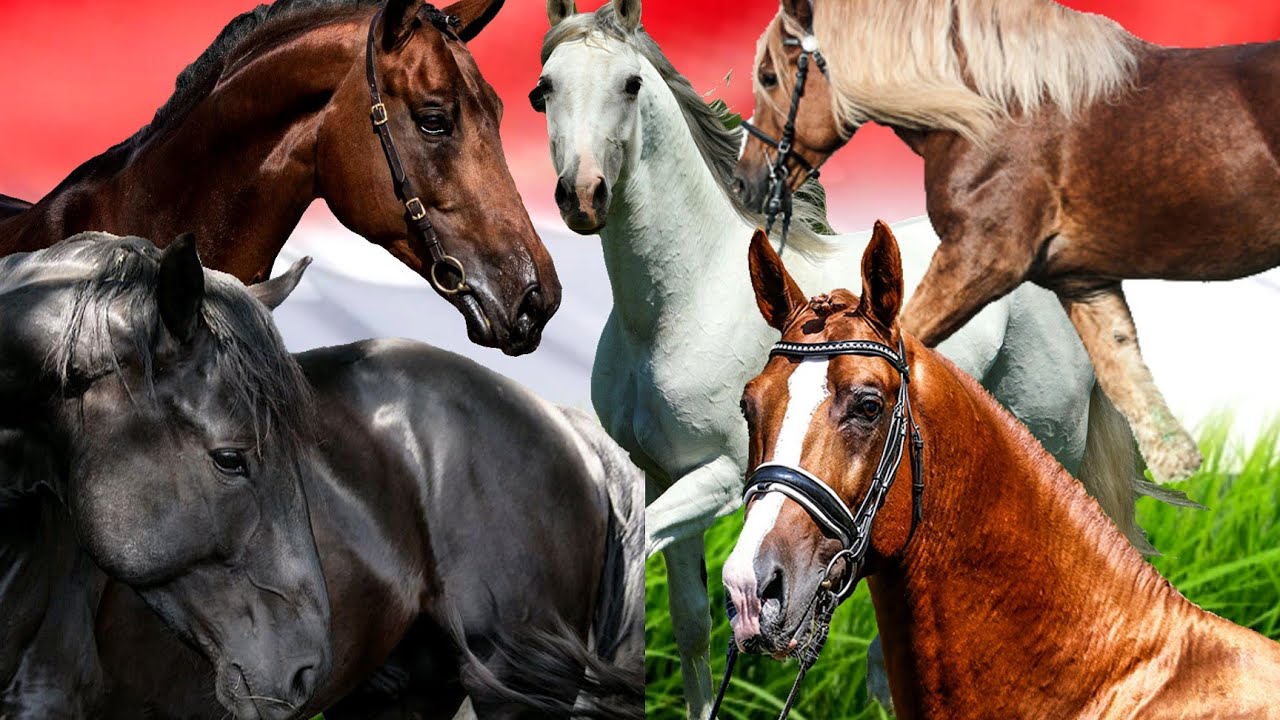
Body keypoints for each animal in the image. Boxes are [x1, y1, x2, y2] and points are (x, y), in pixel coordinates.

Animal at [533, 1, 1187, 715]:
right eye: (543, 92)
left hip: (1049, 447)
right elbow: (689, 622)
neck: (684, 300)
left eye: (630, 85)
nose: (582, 195)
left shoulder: (720, 478)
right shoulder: (658, 472)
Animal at [735, 0, 1280, 483]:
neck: (998, 113)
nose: (746, 182)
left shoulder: (980, 259)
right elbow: (1135, 393)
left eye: (768, 76)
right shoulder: (1085, 284)